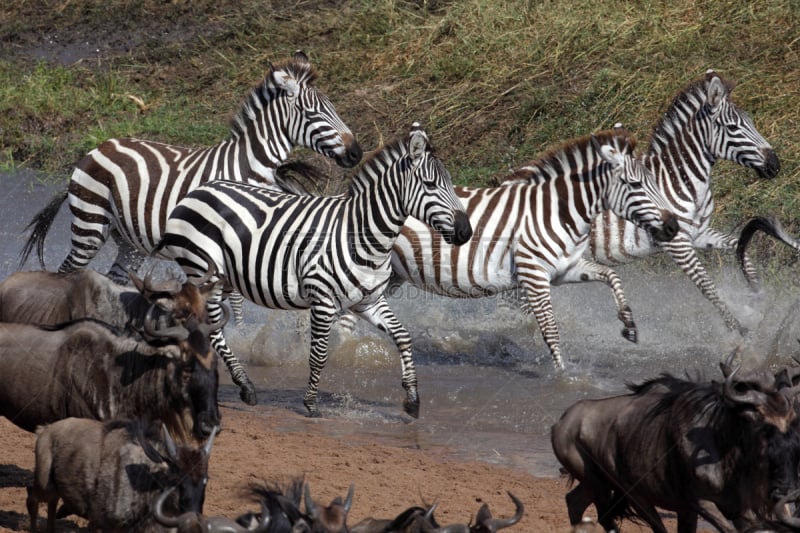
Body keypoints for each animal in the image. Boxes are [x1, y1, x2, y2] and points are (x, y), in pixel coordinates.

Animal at [18, 52, 362, 360]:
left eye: (334, 108)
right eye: (313, 113)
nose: (356, 152)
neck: (248, 168)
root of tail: (96, 148)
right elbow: (235, 298)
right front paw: (238, 338)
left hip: (129, 244)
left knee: (112, 280)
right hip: (90, 226)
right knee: (66, 272)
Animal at [153, 123, 472, 416]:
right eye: (430, 185)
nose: (466, 232)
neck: (363, 235)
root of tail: (197, 191)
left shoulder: (368, 301)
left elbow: (403, 337)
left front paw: (412, 399)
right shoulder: (323, 300)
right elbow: (318, 354)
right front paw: (310, 404)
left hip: (223, 278)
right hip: (204, 272)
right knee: (212, 329)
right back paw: (244, 386)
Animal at [340, 127, 680, 368]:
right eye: (636, 185)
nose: (673, 226)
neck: (556, 212)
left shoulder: (566, 269)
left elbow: (612, 276)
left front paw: (629, 326)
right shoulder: (534, 275)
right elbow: (550, 330)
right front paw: (564, 376)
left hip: (392, 276)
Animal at [510, 69, 780, 332]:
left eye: (751, 122)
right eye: (733, 127)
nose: (775, 165)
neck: (680, 180)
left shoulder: (699, 234)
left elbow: (741, 248)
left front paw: (758, 299)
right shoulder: (677, 242)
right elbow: (706, 286)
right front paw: (738, 329)